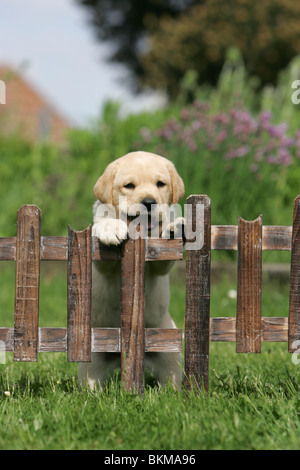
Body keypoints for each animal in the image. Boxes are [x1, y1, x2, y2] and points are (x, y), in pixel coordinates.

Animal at [78, 151, 184, 390]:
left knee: (171, 379)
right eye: (129, 186)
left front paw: (174, 228)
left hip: (170, 351)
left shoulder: (159, 263)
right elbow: (104, 226)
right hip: (91, 360)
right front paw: (110, 228)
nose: (149, 202)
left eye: (160, 184)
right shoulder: (102, 264)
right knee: (91, 382)